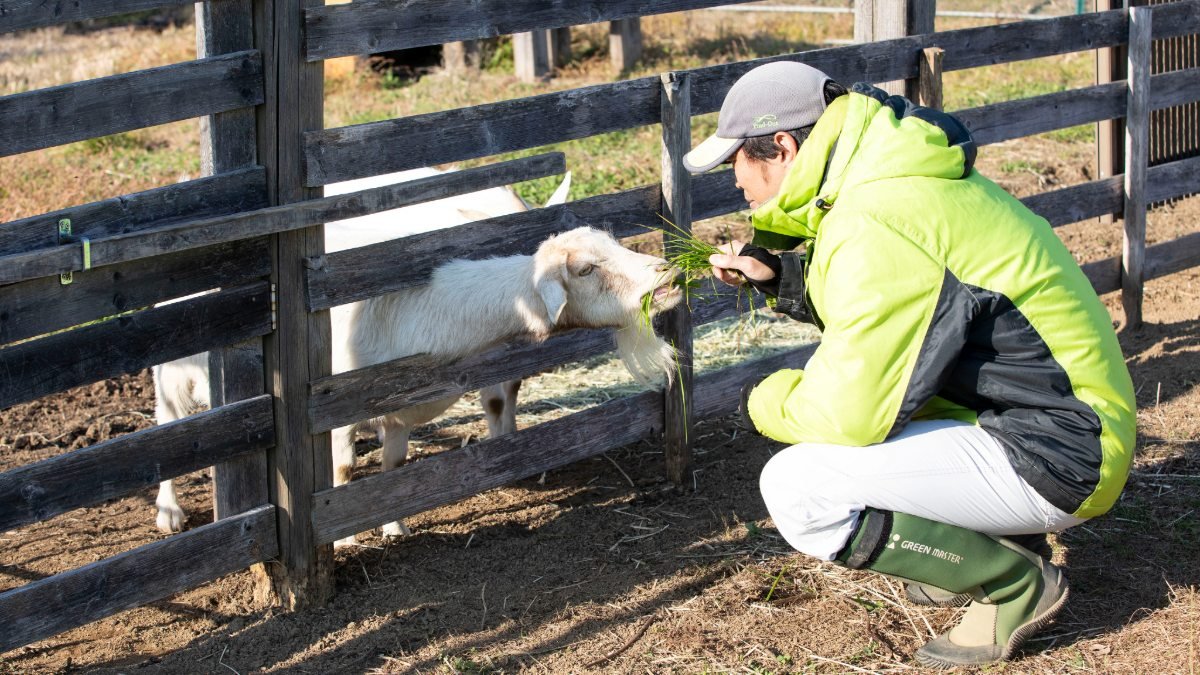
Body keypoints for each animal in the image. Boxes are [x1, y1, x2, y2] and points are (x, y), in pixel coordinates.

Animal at [151, 171, 681, 540]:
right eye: (587, 269)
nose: (670, 274)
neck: (423, 307)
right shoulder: (329, 409)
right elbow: (342, 473)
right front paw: (344, 539)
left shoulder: (401, 411)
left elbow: (394, 467)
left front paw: (393, 526)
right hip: (172, 369)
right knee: (167, 428)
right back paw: (169, 511)